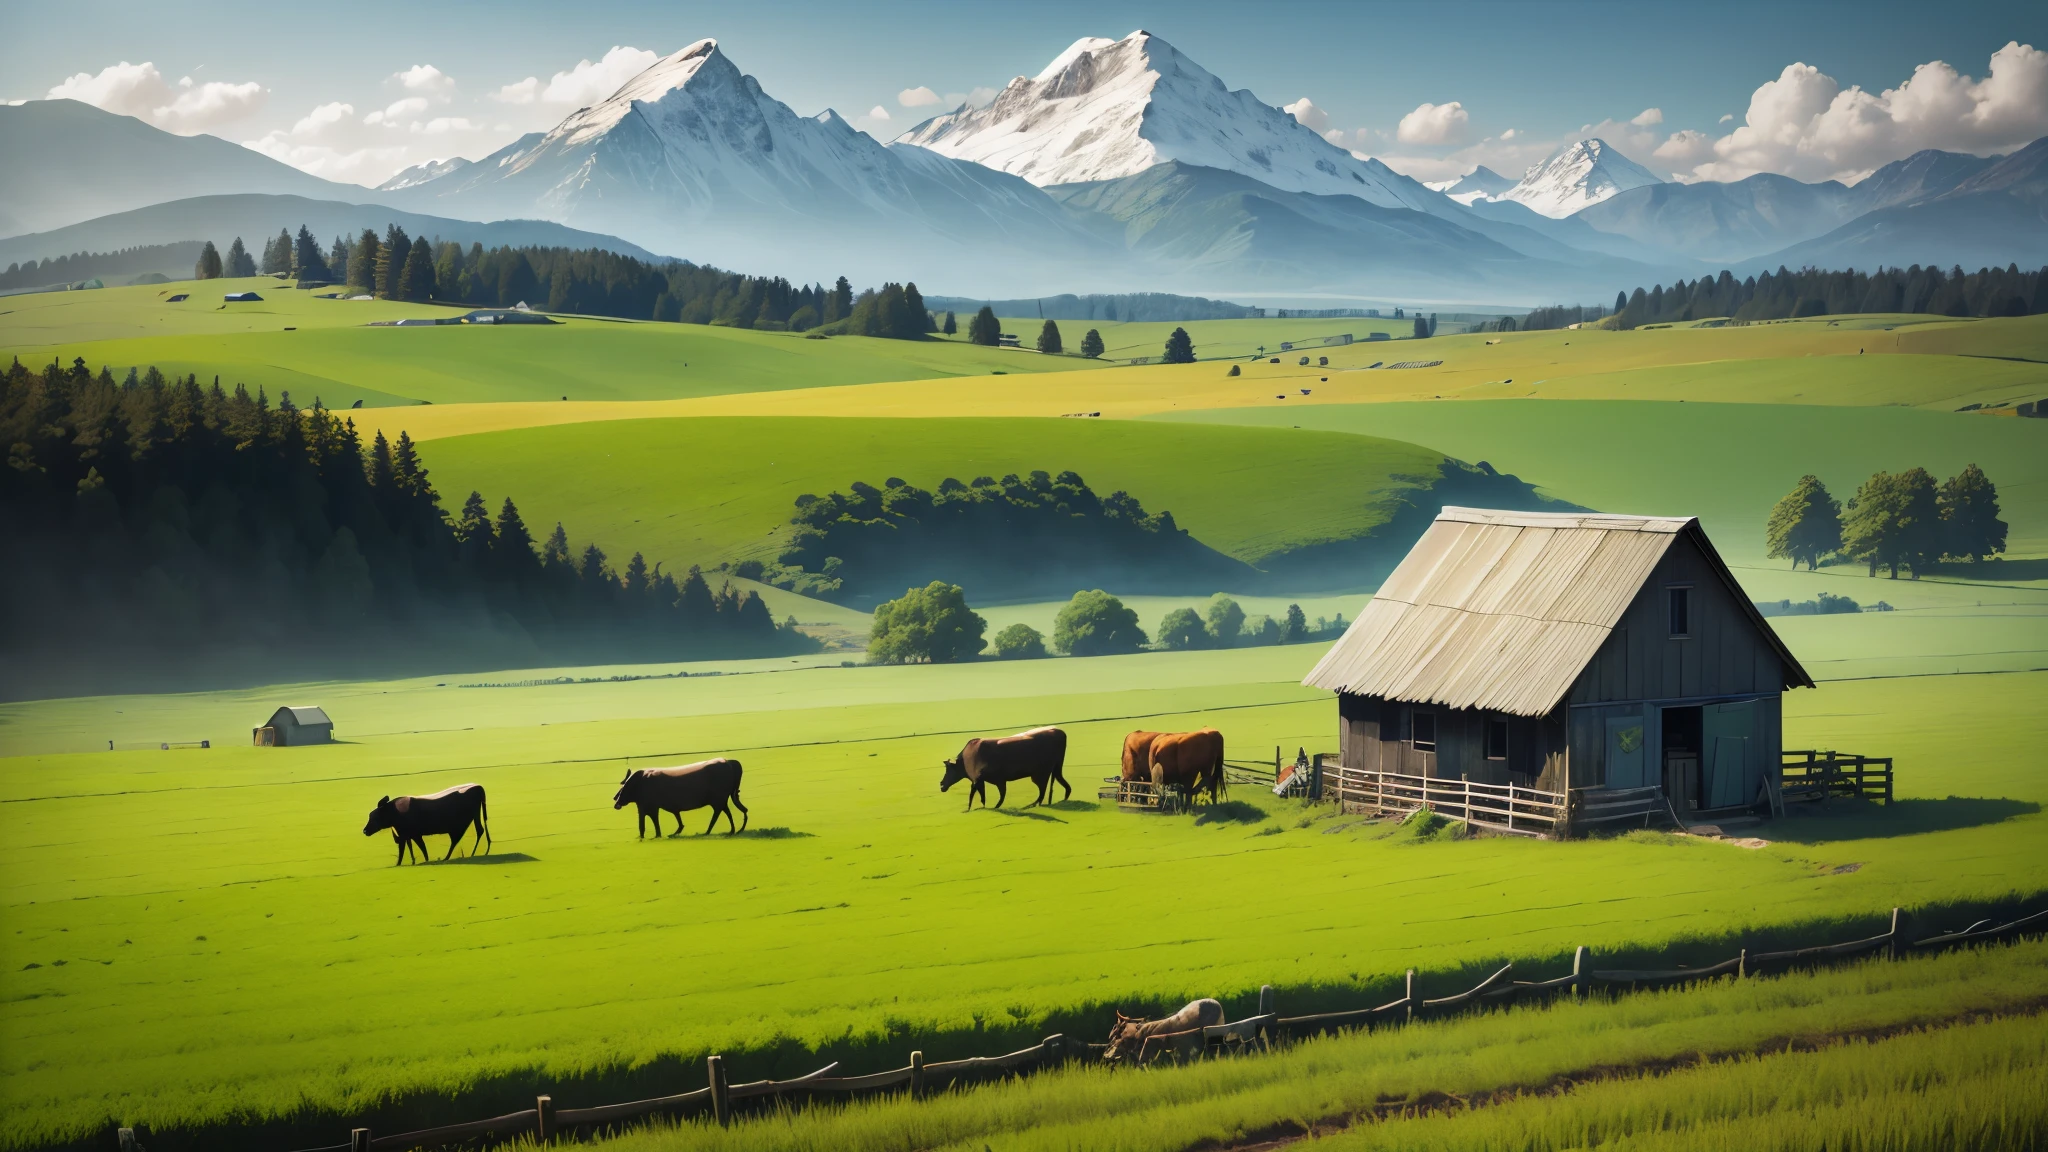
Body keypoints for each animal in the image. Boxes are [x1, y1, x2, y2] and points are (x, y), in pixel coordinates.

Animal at [610, 754, 749, 832]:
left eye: (624, 788)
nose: (616, 800)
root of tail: (729, 762)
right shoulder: (646, 807)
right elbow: (645, 826)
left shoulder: (651, 807)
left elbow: (652, 825)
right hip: (720, 800)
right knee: (728, 811)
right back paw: (732, 830)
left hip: (717, 800)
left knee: (720, 813)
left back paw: (711, 831)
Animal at [942, 725, 1073, 807]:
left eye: (948, 770)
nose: (941, 784)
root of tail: (1059, 732)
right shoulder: (993, 780)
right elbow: (985, 796)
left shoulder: (985, 779)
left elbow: (978, 795)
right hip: (1055, 769)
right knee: (1064, 786)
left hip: (1040, 773)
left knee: (1043, 790)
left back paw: (1032, 805)